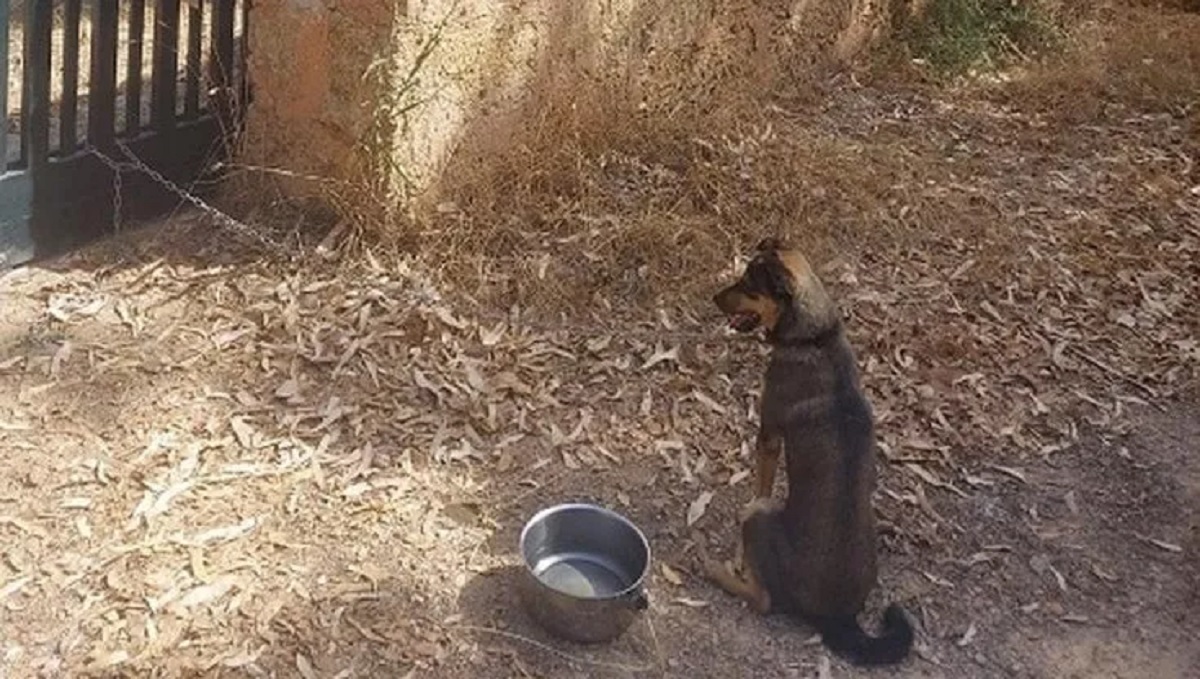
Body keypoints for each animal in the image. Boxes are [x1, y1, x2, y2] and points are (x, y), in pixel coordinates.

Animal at [700, 239, 907, 671]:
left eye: (749, 284)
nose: (713, 298)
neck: (815, 336)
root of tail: (839, 618)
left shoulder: (768, 437)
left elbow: (760, 484)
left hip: (760, 518)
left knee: (763, 600)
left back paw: (716, 571)